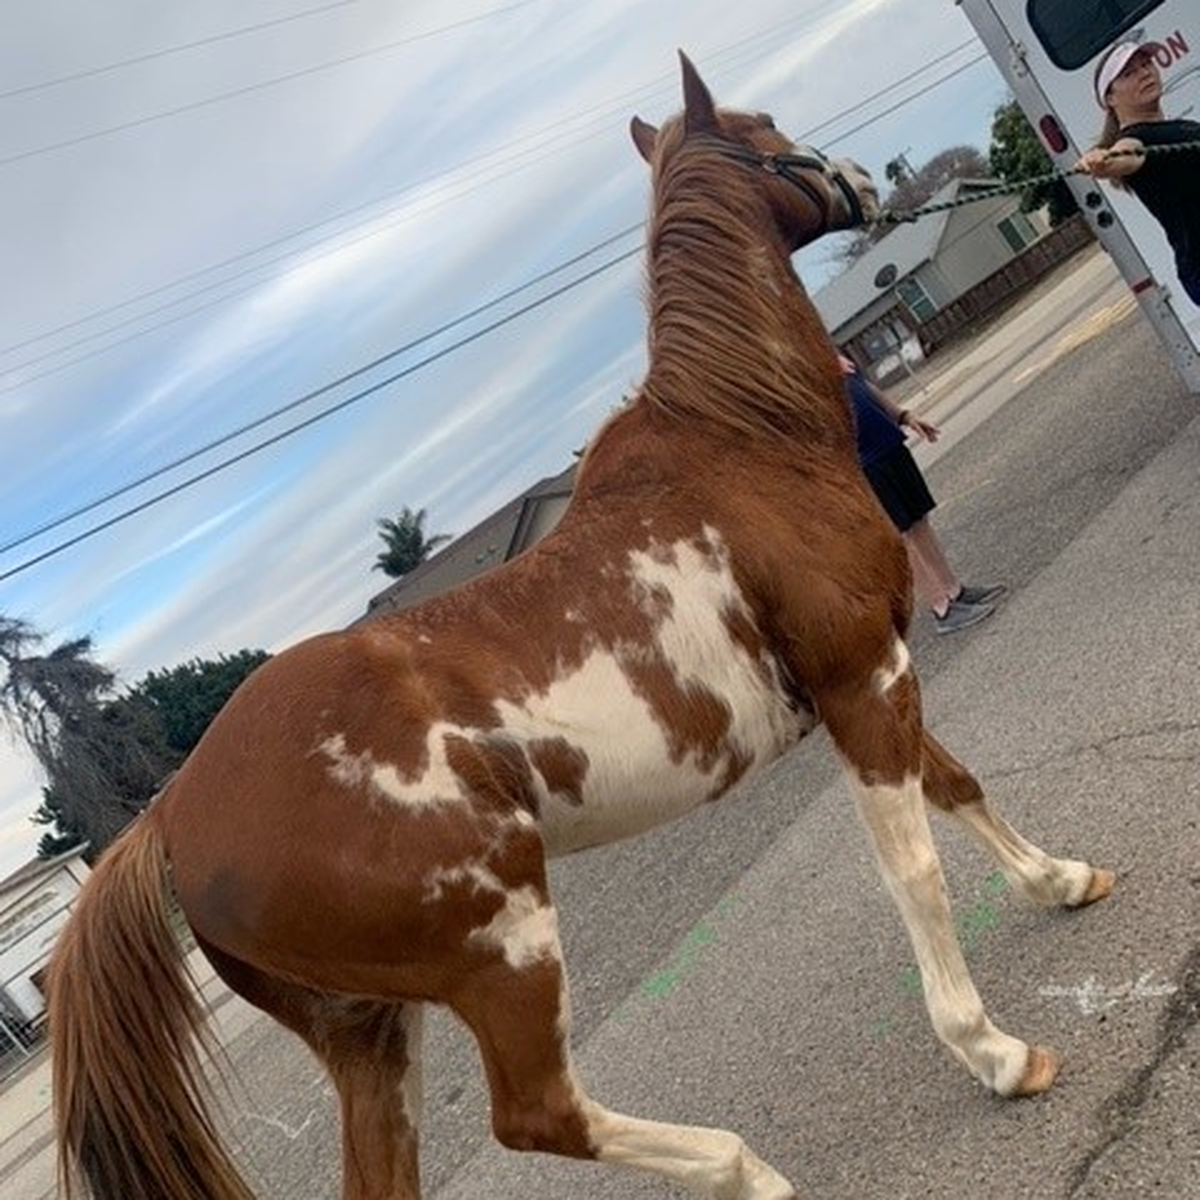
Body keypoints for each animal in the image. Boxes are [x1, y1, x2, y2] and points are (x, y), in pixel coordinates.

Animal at [48, 53, 1114, 1200]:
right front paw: (992, 1050)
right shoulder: (862, 678)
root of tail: (169, 818)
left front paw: (1061, 881)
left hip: (370, 1029)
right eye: (764, 125)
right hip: (504, 954)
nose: (867, 178)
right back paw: (745, 1170)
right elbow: (913, 867)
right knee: (539, 1112)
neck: (741, 440)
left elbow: (955, 783)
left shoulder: (874, 672)